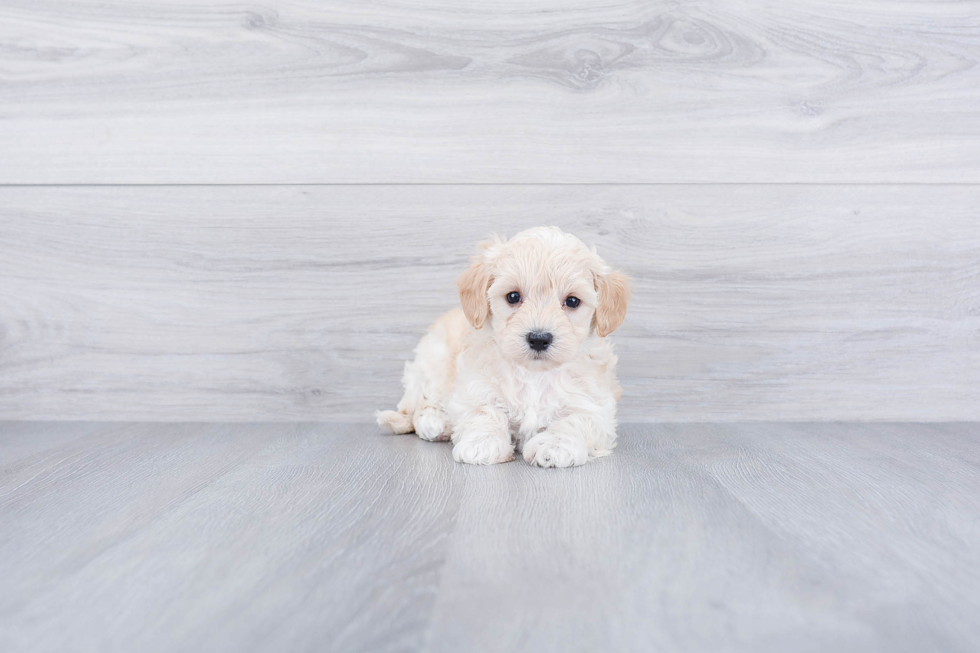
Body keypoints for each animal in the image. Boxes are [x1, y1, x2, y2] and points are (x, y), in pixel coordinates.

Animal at [376, 227, 628, 466]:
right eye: (513, 296)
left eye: (573, 301)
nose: (538, 338)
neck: (535, 374)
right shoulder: (474, 386)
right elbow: (484, 410)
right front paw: (482, 443)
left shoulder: (596, 406)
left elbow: (577, 420)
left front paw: (555, 446)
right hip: (431, 362)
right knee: (420, 404)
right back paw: (436, 422)